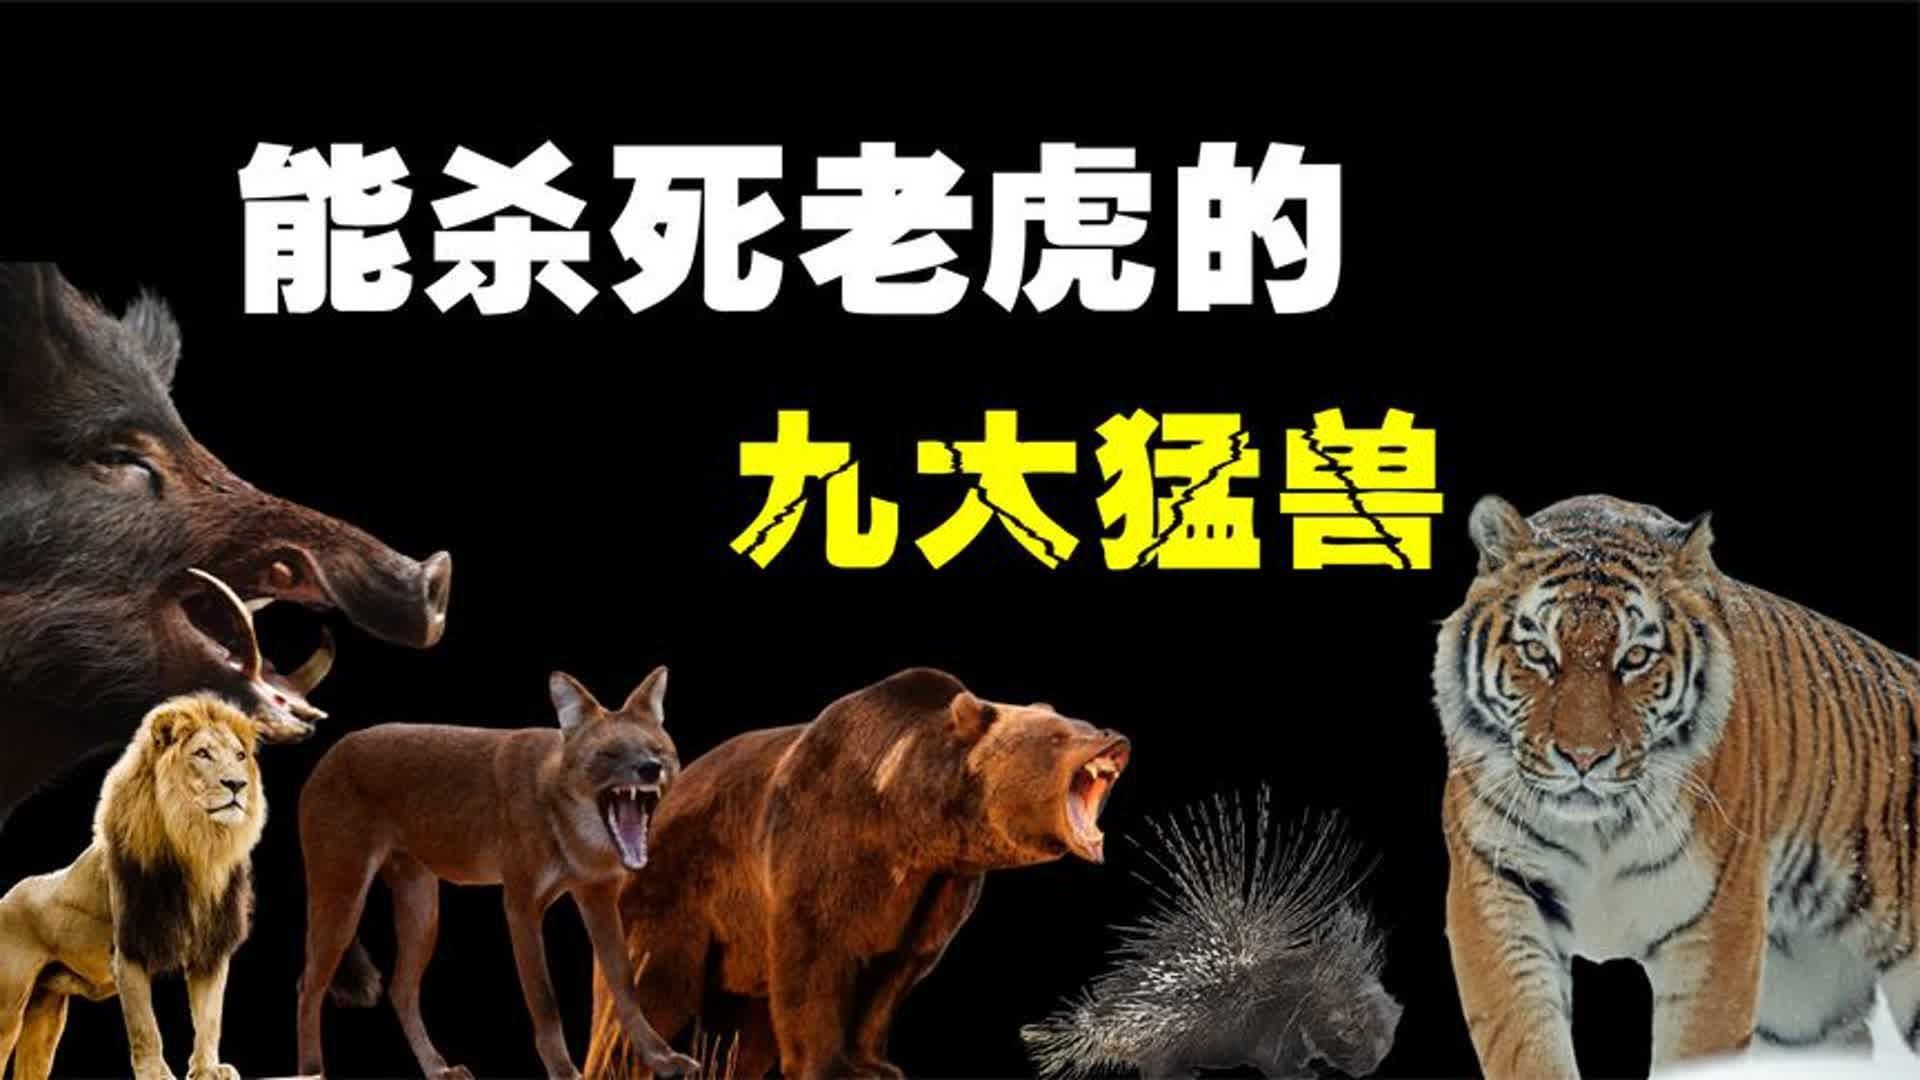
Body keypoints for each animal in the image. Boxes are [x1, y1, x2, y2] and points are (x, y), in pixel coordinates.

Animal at [1433, 493, 1920, 1078]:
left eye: (1635, 658)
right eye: (1538, 653)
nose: (1583, 758)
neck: (1596, 830)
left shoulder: (1714, 924)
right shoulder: (1497, 887)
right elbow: (1525, 1039)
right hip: (1806, 1010)